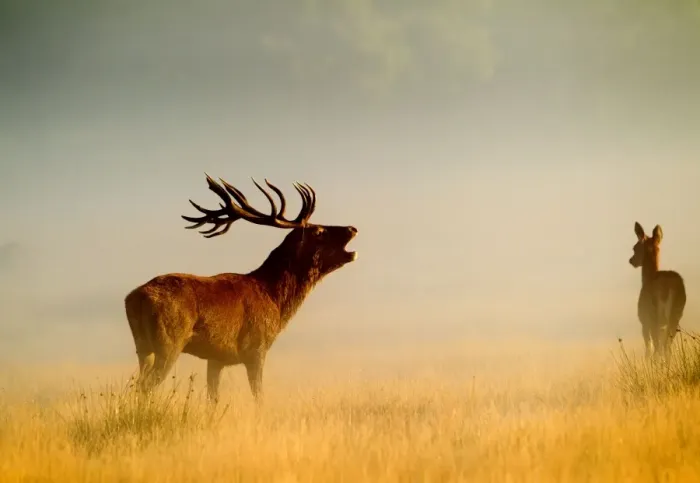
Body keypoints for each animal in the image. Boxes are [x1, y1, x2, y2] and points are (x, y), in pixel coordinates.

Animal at [124, 174, 358, 404]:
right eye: (319, 231)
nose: (352, 228)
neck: (275, 302)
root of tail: (135, 298)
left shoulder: (216, 357)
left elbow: (213, 399)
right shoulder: (256, 348)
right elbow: (259, 397)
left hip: (142, 346)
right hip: (169, 341)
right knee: (146, 386)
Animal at [629, 222, 686, 360]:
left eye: (635, 247)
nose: (631, 260)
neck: (648, 278)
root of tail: (668, 287)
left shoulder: (644, 321)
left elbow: (648, 349)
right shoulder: (661, 327)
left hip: (654, 316)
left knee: (658, 349)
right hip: (675, 316)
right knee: (667, 348)